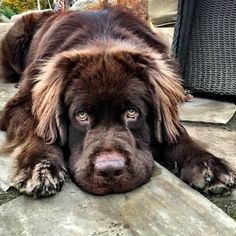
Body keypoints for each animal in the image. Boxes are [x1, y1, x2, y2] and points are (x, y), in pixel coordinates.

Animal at [0, 6, 235, 197]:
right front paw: (40, 166)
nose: (110, 170)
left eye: (132, 112)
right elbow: (38, 130)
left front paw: (207, 164)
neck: (101, 37)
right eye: (81, 115)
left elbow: (176, 130)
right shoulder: (19, 105)